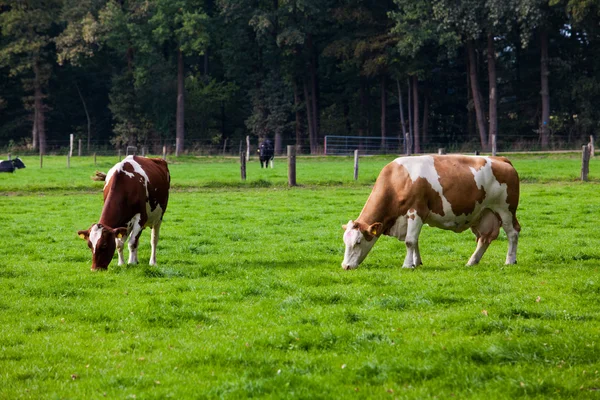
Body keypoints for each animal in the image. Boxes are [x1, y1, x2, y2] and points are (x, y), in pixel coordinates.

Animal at [342, 155, 520, 270]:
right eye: (345, 242)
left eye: (358, 242)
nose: (345, 266)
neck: (398, 179)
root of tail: (500, 159)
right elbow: (415, 241)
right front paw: (416, 262)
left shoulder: (416, 212)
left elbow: (410, 241)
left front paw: (407, 265)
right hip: (483, 214)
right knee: (484, 239)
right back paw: (472, 261)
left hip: (506, 210)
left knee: (513, 233)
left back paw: (510, 260)